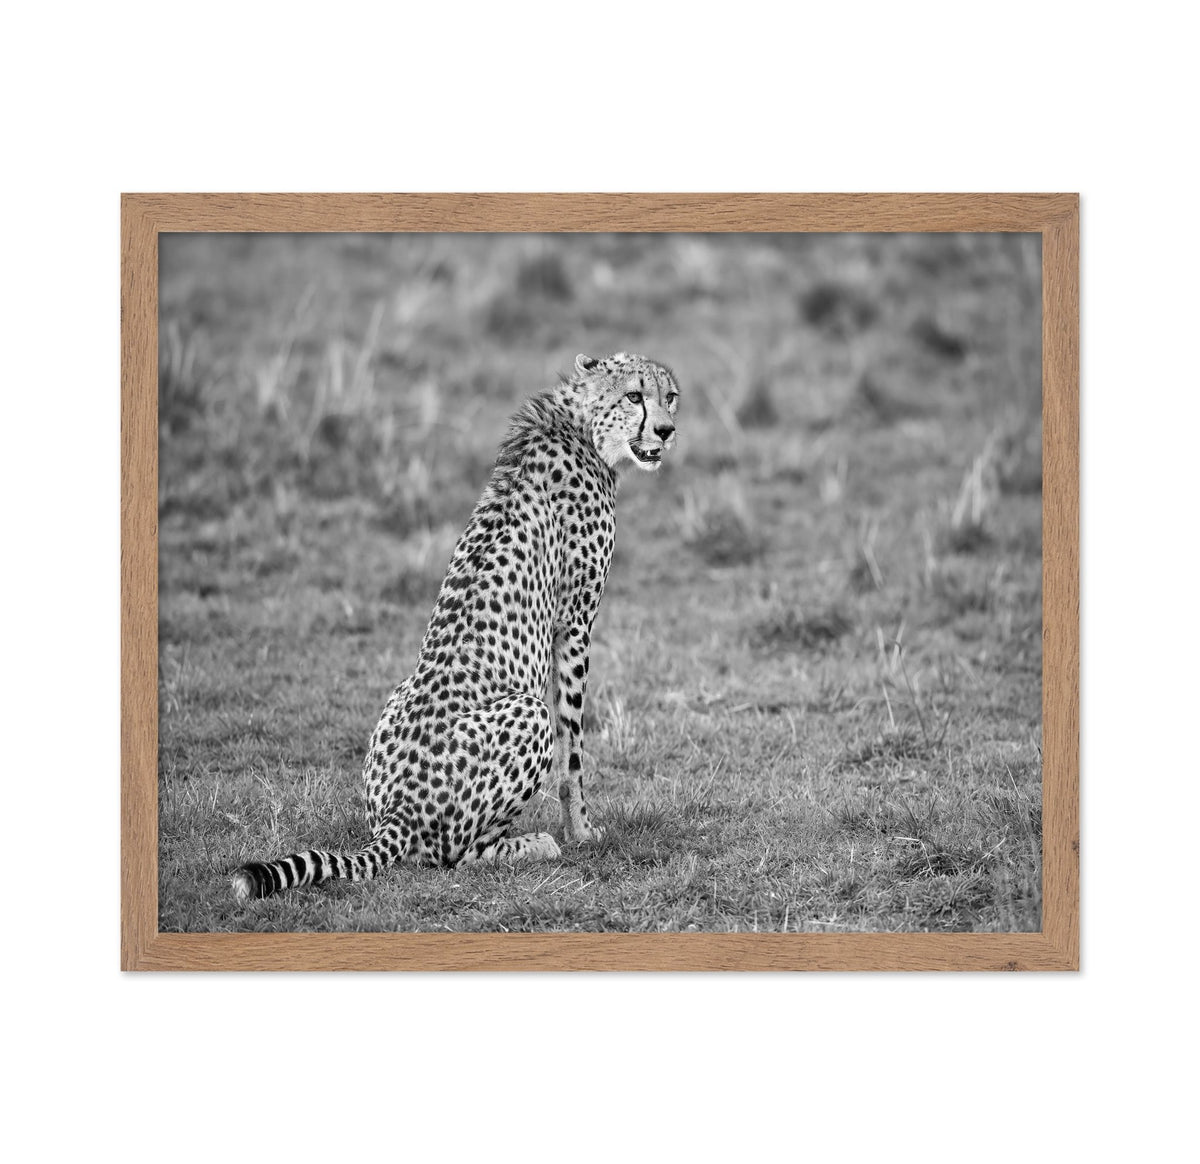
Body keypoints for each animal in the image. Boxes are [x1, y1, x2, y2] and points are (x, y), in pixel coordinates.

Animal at [231, 352, 680, 901]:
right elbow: (573, 749)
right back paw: (535, 844)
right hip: (527, 714)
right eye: (634, 396)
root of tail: (398, 811)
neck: (580, 425)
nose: (666, 430)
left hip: (398, 698)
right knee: (456, 854)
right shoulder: (574, 623)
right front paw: (582, 831)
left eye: (669, 396)